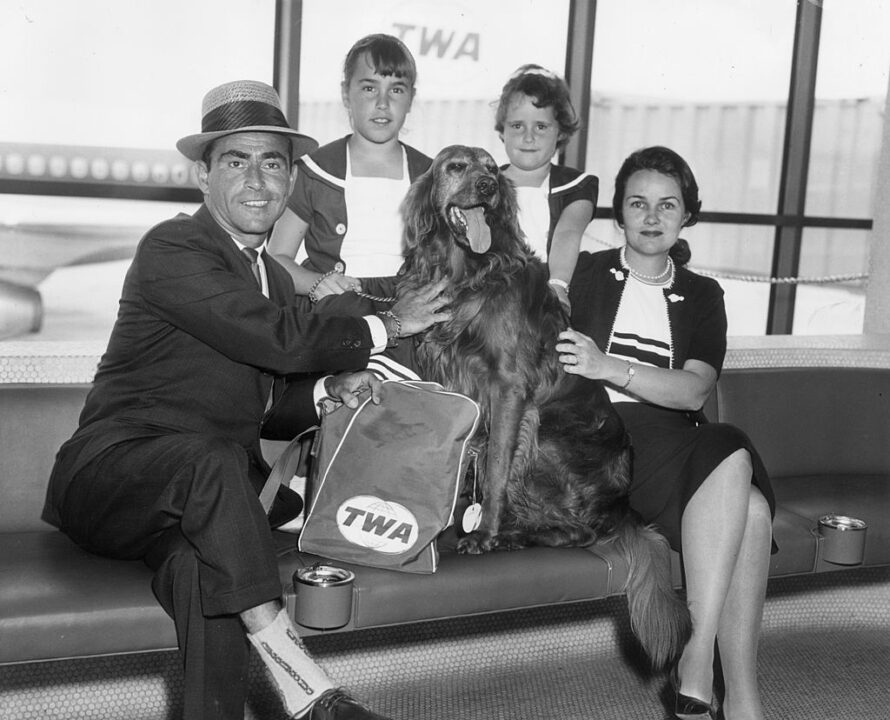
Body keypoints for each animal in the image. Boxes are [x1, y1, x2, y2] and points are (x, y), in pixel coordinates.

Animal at [398, 146, 692, 668]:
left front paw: (484, 532)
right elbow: (465, 457)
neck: (469, 269)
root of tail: (621, 504)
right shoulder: (453, 376)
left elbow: (494, 468)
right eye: (456, 166)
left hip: (547, 435)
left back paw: (514, 535)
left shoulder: (508, 386)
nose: (487, 188)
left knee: (580, 532)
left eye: (492, 169)